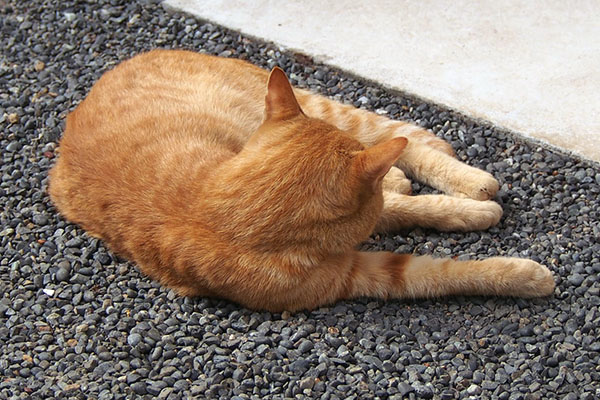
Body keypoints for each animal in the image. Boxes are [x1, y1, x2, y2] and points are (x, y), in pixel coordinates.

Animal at [49, 49, 556, 312]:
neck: (220, 216)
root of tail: (143, 52)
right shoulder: (364, 274)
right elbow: (440, 267)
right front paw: (521, 270)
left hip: (323, 113)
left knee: (399, 137)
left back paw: (469, 178)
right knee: (394, 151)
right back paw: (416, 180)